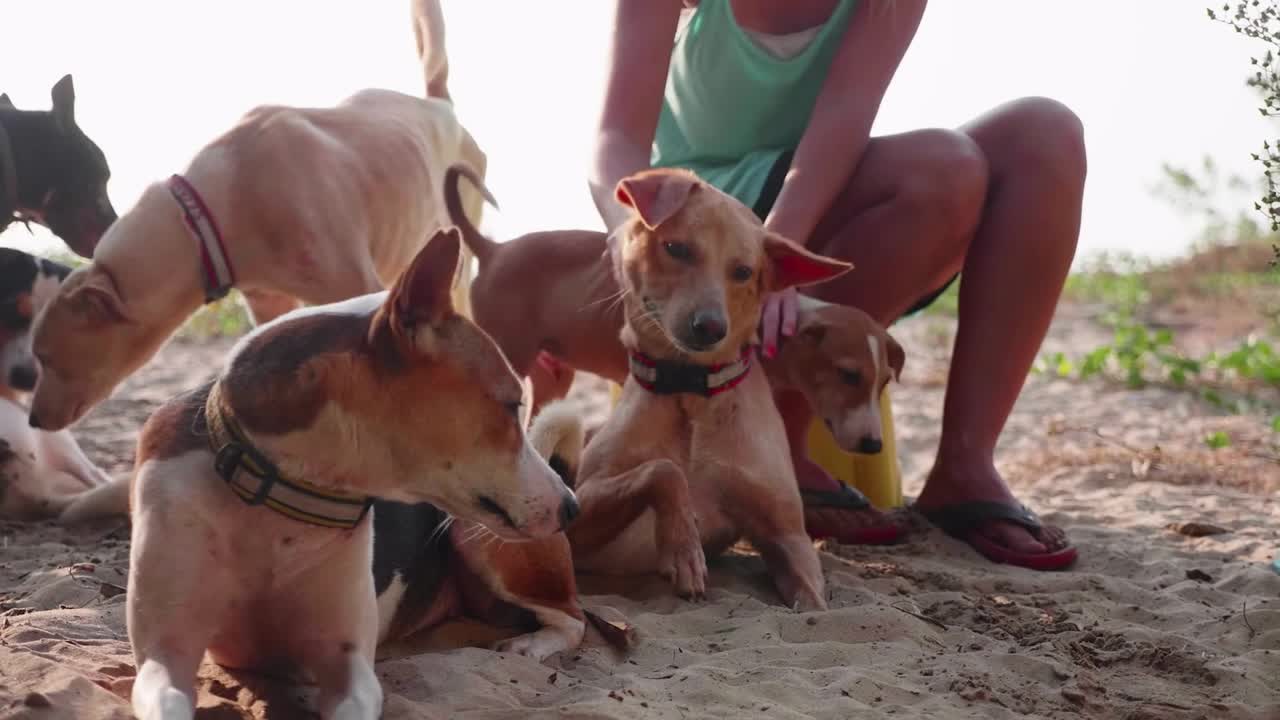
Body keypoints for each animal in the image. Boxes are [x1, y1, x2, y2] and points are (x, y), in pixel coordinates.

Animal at [122, 230, 583, 717]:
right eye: (512, 405)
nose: (572, 508)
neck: (277, 499)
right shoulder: (165, 654)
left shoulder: (348, 666)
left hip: (476, 537)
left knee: (575, 618)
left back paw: (528, 646)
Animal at [568, 166, 849, 604]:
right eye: (676, 248)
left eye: (744, 272)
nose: (711, 327)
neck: (691, 390)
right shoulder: (579, 512)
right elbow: (664, 470)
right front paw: (683, 546)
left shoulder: (788, 536)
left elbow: (812, 602)